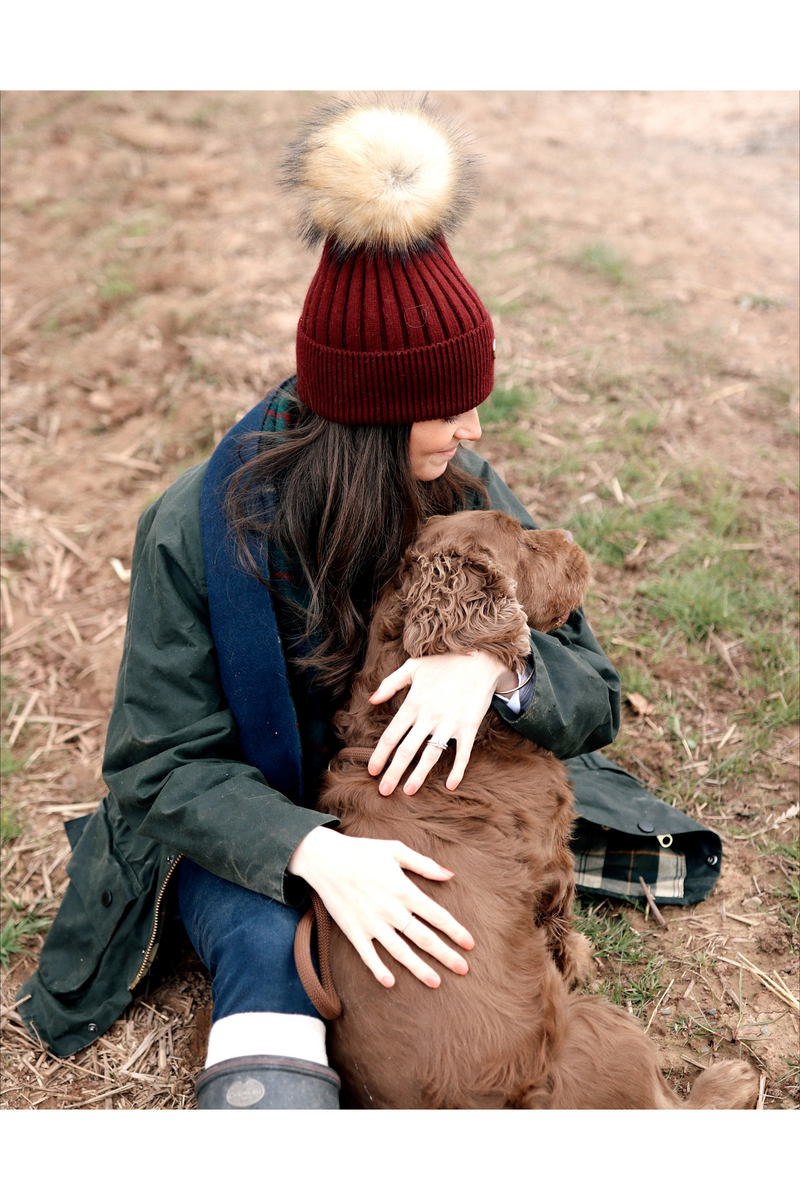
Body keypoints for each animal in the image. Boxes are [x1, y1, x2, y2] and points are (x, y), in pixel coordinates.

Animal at [309, 511, 762, 1108]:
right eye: (522, 541)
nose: (569, 536)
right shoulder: (552, 862)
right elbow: (560, 928)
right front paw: (582, 957)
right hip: (605, 1032)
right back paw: (732, 1079)